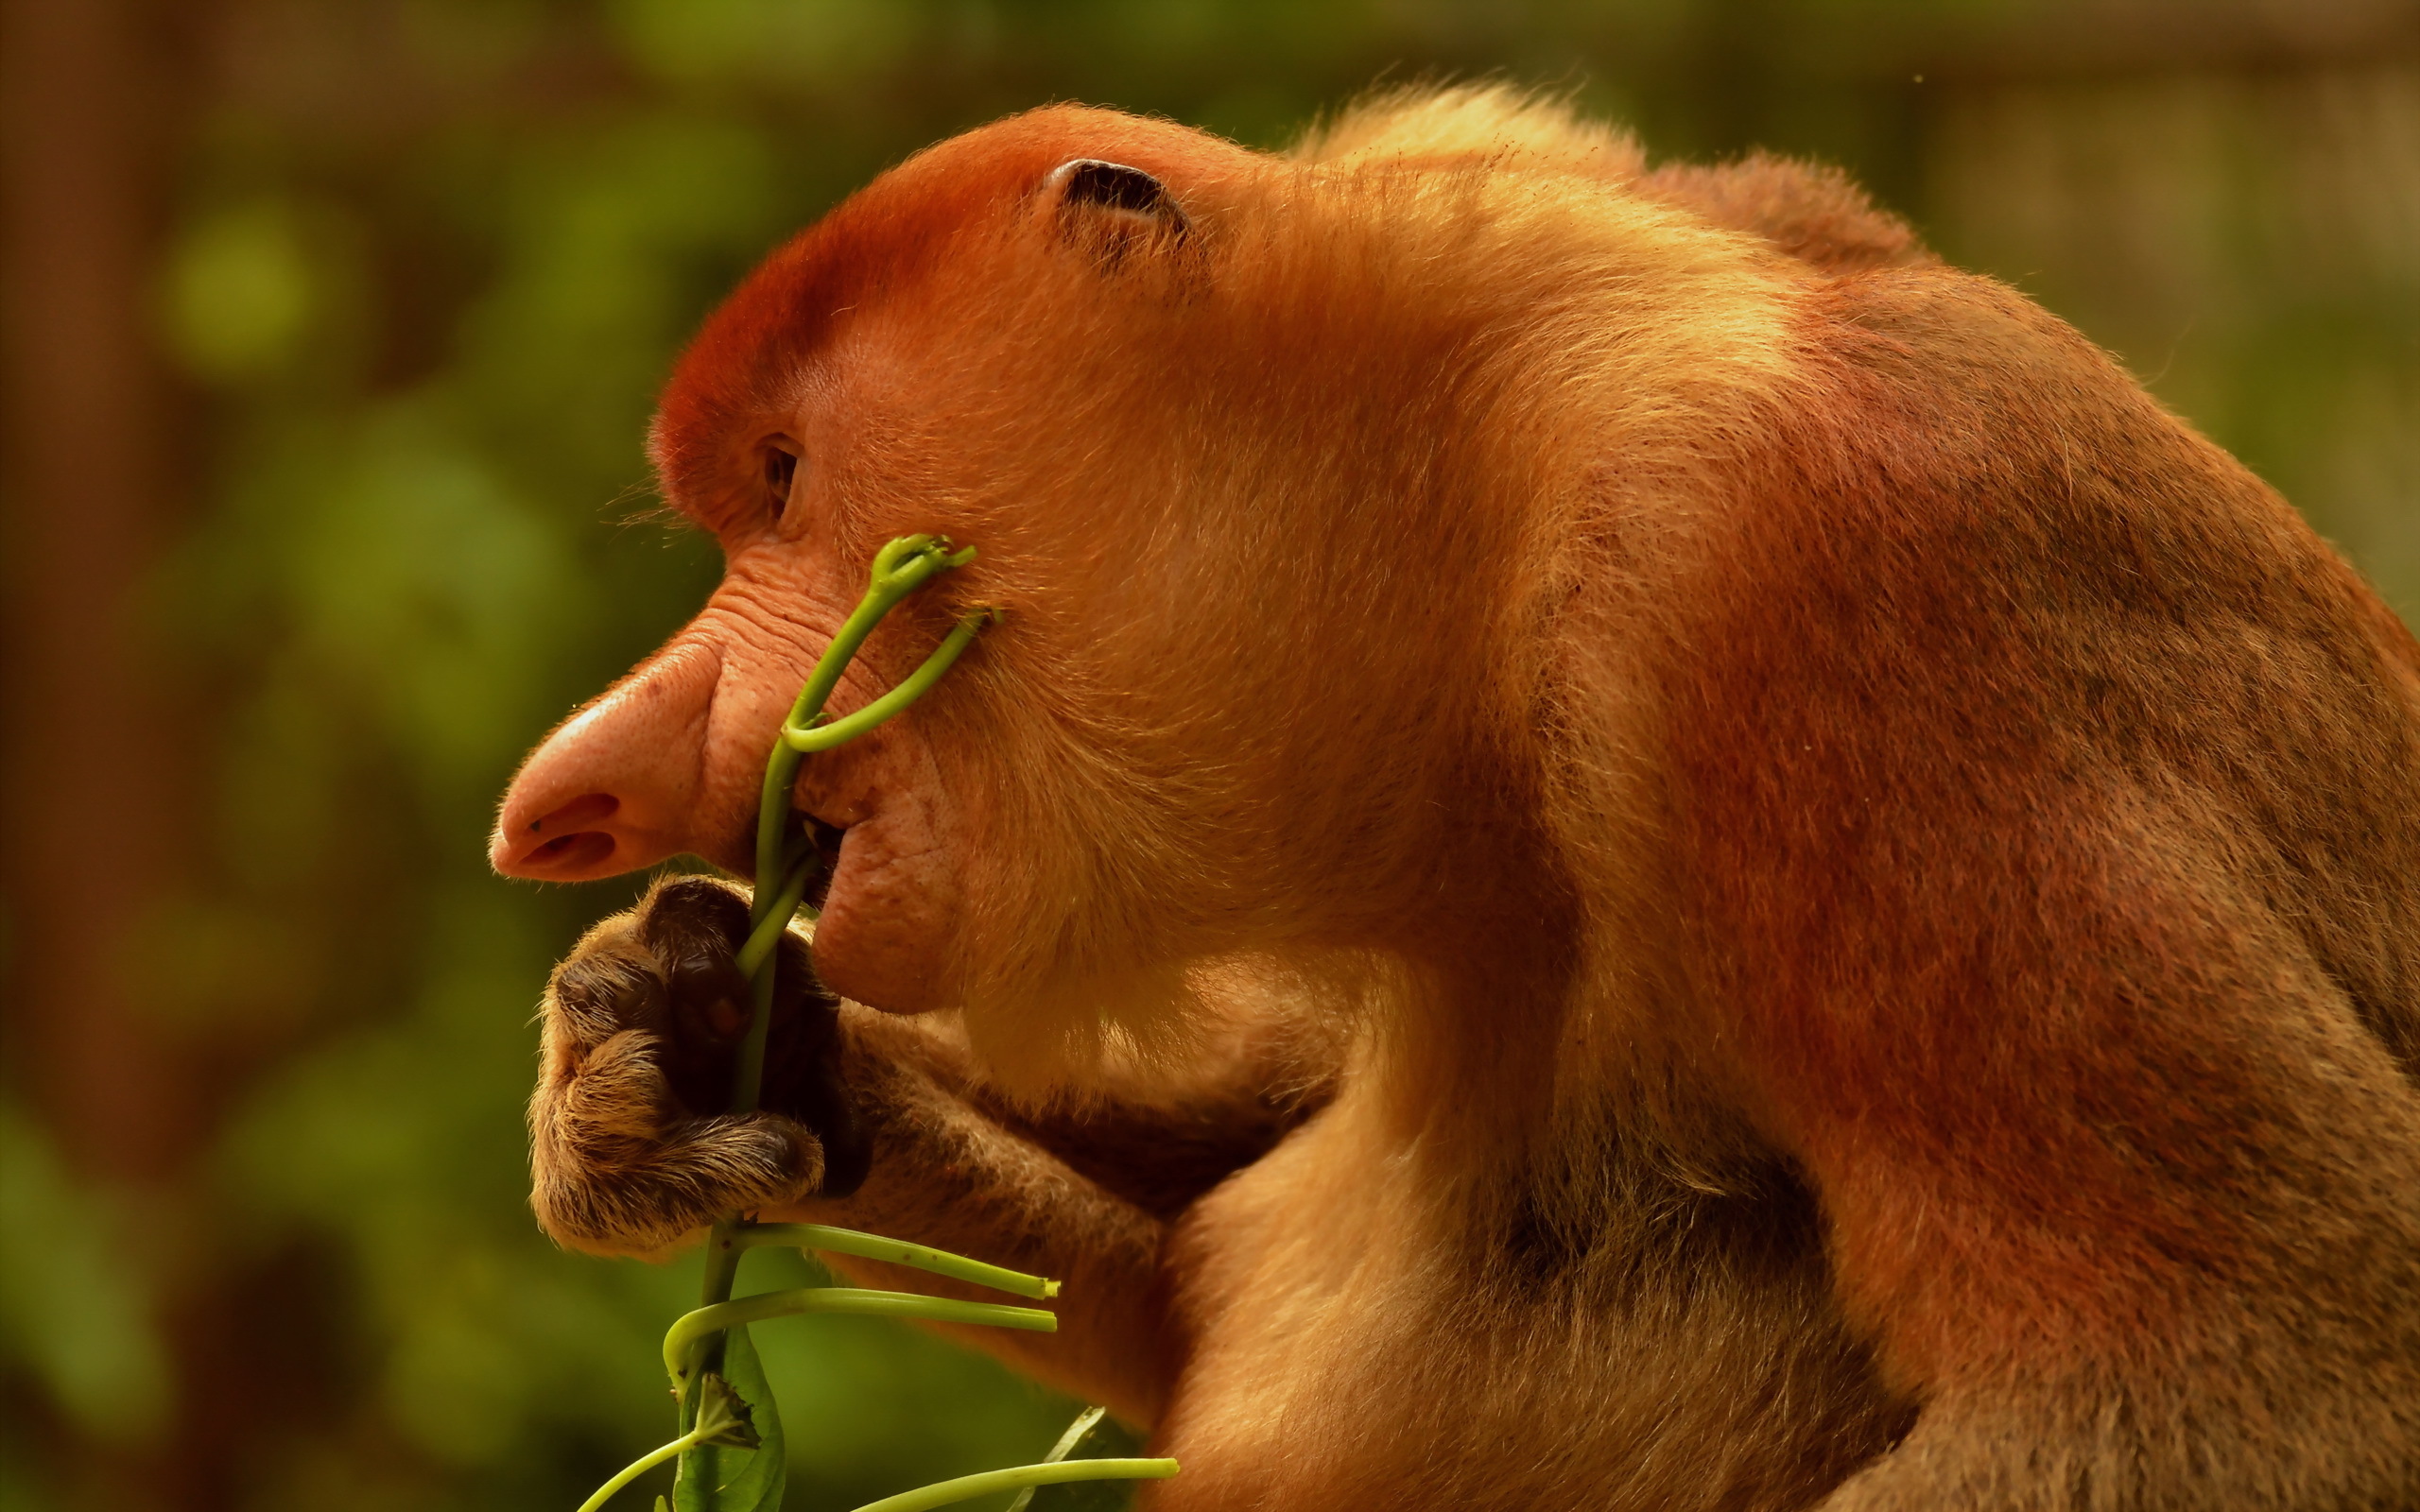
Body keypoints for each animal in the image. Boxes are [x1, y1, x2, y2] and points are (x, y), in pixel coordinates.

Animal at [491, 87, 2420, 1510]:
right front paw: (667, 1044)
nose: (567, 797)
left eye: (781, 477)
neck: (1501, 494)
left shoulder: (1809, 569)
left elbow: (2251, 1385)